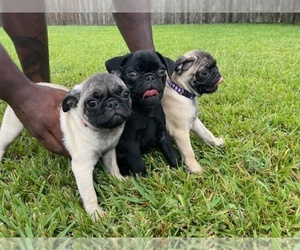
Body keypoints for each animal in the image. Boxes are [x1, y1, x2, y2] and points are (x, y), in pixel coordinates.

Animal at [0, 73, 131, 221]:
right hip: (11, 128)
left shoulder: (110, 151)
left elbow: (114, 168)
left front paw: (120, 180)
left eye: (126, 94)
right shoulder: (82, 167)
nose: (113, 103)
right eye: (92, 103)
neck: (104, 132)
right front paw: (96, 214)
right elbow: (90, 194)